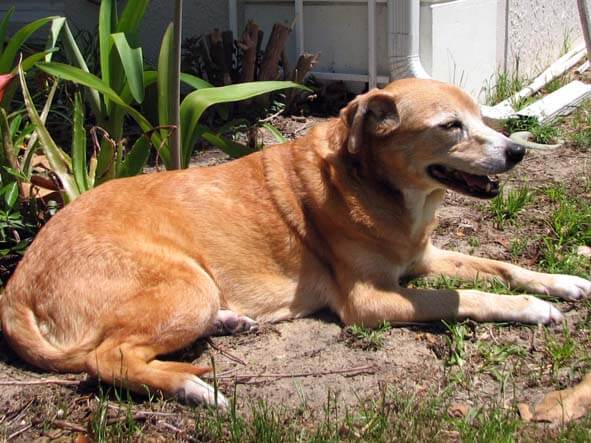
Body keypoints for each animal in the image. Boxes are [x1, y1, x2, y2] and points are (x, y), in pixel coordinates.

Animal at [1, 79, 591, 410]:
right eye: (451, 126)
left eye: (482, 118)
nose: (517, 151)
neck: (372, 185)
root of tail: (16, 287)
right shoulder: (371, 301)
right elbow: (465, 297)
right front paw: (532, 308)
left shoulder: (422, 259)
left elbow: (500, 266)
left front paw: (560, 281)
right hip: (186, 285)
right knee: (107, 358)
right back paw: (192, 389)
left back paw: (228, 322)